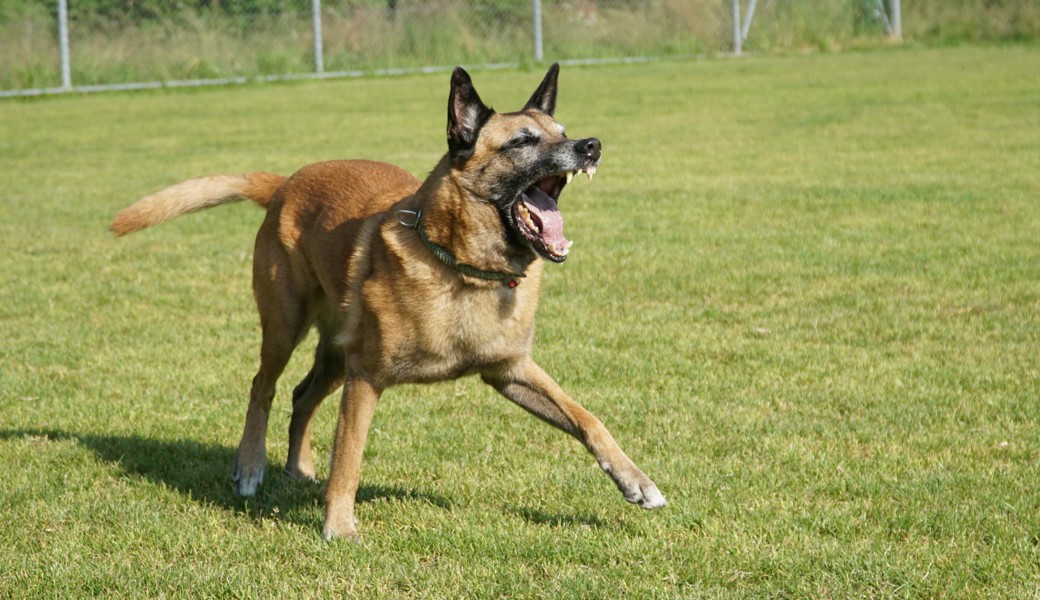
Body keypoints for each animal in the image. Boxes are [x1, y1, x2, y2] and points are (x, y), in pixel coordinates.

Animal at [111, 64, 665, 536]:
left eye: (562, 130)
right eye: (523, 141)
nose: (591, 146)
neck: (462, 270)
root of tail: (285, 182)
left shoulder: (510, 371)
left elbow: (588, 418)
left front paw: (636, 482)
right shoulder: (366, 378)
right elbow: (349, 459)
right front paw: (338, 527)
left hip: (335, 352)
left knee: (301, 396)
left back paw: (298, 466)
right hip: (287, 327)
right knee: (262, 388)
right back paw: (250, 466)